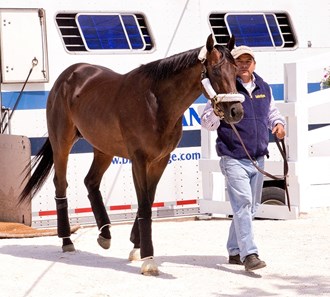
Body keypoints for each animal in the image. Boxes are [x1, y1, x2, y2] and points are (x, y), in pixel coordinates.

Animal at [19, 33, 244, 274]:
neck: (156, 103)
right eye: (217, 71)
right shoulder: (139, 160)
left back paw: (105, 234)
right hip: (62, 142)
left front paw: (137, 247)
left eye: (236, 71)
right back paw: (67, 240)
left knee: (91, 181)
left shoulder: (160, 160)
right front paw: (148, 258)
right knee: (61, 184)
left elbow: (149, 200)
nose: (236, 111)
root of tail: (68, 76)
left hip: (103, 148)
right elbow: (144, 203)